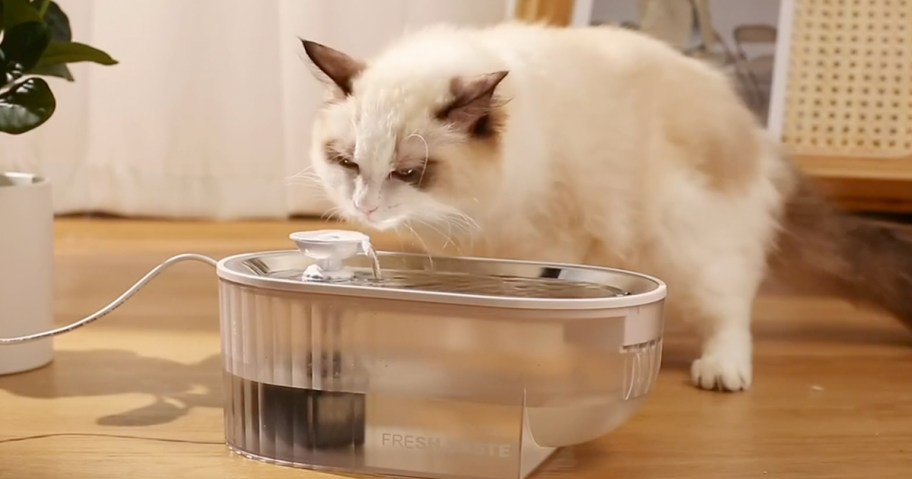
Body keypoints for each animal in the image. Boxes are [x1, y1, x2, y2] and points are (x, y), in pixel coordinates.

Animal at [300, 20, 912, 392]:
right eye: (348, 163)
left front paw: (507, 360)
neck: (468, 213)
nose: (365, 207)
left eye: (408, 174)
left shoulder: (542, 243)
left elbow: (510, 316)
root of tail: (758, 138)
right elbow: (461, 311)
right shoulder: (466, 252)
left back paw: (722, 370)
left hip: (684, 240)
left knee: (731, 307)